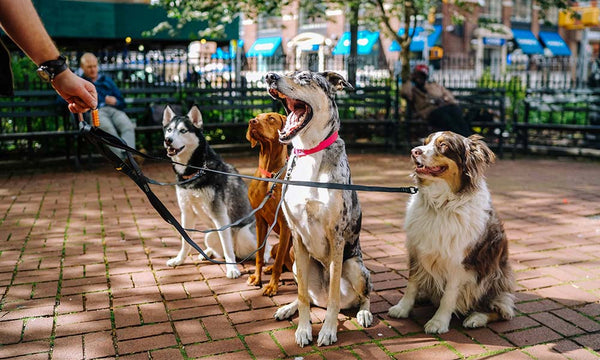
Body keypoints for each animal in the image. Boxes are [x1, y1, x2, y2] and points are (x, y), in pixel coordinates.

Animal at [246, 112, 292, 296]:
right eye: (256, 117)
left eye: (271, 118)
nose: (252, 122)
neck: (269, 175)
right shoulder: (260, 221)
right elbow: (259, 255)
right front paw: (257, 278)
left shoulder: (285, 224)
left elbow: (279, 262)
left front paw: (272, 286)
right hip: (275, 246)